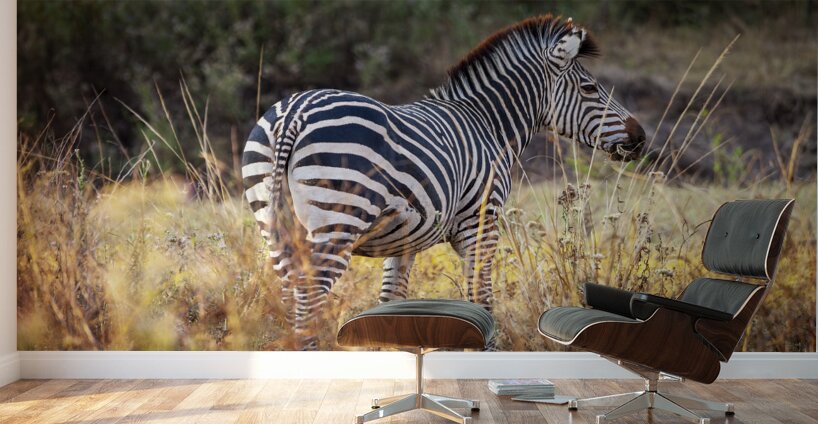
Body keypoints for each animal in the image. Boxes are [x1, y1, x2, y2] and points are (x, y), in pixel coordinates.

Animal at [242, 15, 646, 350]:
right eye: (590, 89)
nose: (640, 137)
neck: (487, 125)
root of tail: (295, 112)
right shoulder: (480, 224)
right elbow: (481, 299)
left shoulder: (403, 241)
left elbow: (392, 300)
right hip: (337, 222)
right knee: (307, 303)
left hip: (274, 223)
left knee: (293, 298)